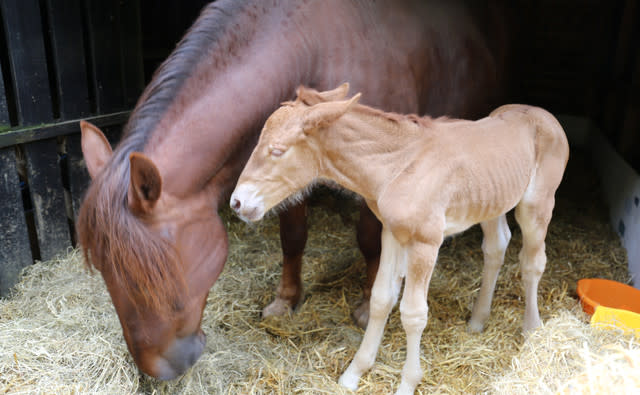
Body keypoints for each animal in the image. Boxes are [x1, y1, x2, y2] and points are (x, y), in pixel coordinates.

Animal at [76, 0, 504, 384]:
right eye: (103, 271)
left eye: (154, 272)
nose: (160, 371)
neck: (311, 46)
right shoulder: (279, 177)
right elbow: (293, 237)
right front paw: (286, 299)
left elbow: (370, 241)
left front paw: (367, 305)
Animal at [230, 85, 568, 394]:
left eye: (277, 150)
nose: (237, 202)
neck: (398, 165)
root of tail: (541, 113)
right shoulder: (391, 232)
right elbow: (381, 299)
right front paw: (353, 374)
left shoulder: (425, 243)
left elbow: (413, 313)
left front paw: (407, 383)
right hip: (491, 203)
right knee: (496, 247)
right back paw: (477, 321)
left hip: (537, 204)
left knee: (532, 261)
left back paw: (531, 328)